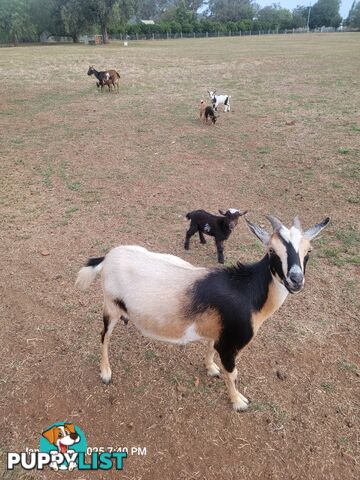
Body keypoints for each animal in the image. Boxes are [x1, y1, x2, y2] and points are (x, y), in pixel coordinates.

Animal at [76, 216, 330, 410]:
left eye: (308, 251)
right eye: (272, 251)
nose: (296, 280)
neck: (248, 291)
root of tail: (108, 257)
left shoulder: (218, 332)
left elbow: (210, 348)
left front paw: (210, 368)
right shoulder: (230, 344)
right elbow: (233, 373)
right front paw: (238, 402)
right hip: (110, 306)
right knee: (104, 336)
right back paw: (106, 372)